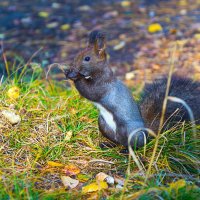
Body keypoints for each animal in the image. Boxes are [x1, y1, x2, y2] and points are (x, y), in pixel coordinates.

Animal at [64, 29, 200, 148]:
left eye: (87, 58)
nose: (73, 67)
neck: (99, 73)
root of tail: (146, 133)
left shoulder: (103, 86)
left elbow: (90, 91)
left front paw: (74, 76)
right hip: (103, 124)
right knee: (117, 141)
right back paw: (108, 145)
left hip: (127, 130)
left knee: (132, 145)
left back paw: (126, 151)